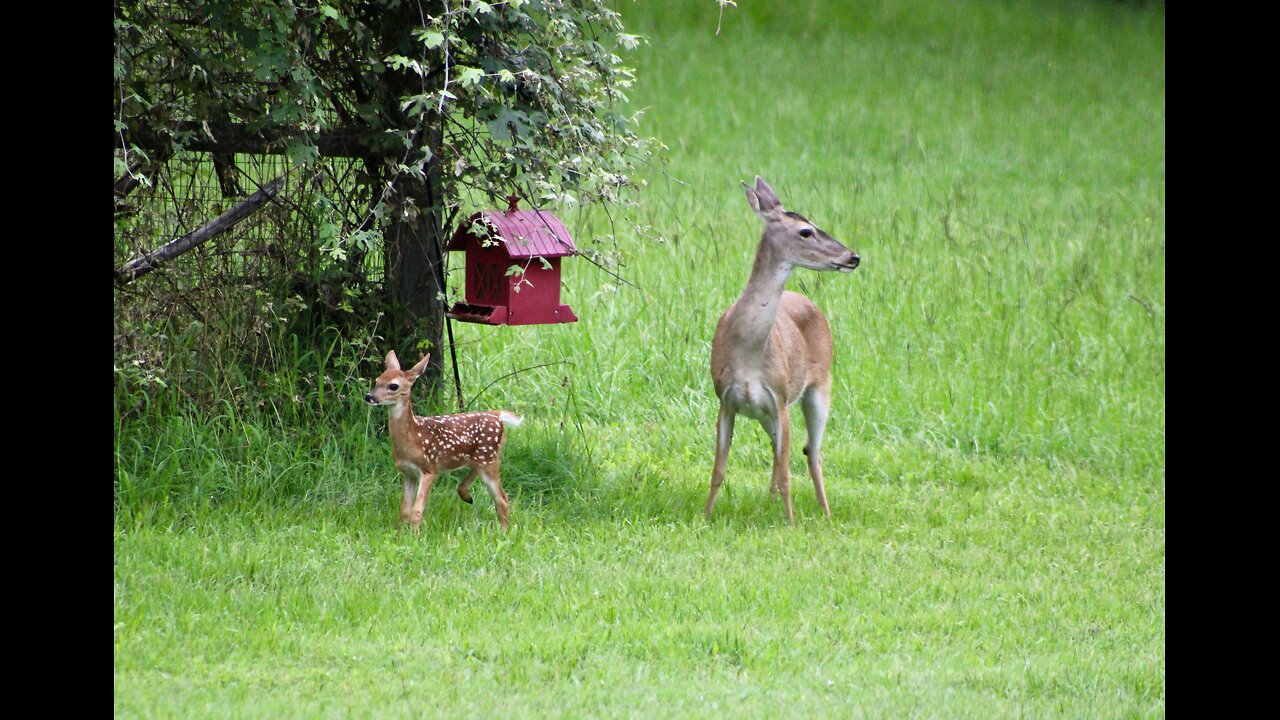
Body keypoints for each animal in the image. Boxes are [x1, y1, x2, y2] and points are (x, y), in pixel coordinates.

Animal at [706, 174, 865, 520]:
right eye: (806, 231)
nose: (853, 257)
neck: (749, 352)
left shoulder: (779, 397)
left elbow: (786, 475)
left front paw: (790, 522)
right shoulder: (726, 398)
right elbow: (719, 469)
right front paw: (706, 516)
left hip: (820, 386)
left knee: (812, 452)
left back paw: (826, 513)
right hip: (766, 413)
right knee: (784, 452)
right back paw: (770, 502)